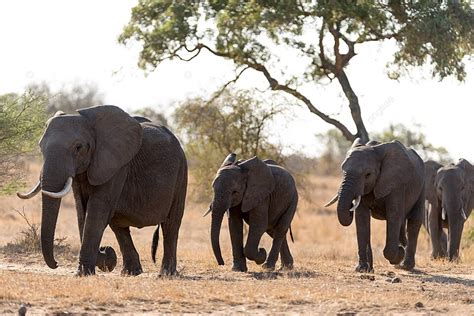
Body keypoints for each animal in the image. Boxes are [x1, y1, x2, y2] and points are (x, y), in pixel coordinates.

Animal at [18, 105, 189, 276]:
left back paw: (166, 274)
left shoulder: (117, 166)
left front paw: (85, 272)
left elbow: (96, 211)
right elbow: (82, 211)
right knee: (119, 227)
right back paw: (130, 272)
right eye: (40, 147)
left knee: (171, 225)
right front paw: (97, 264)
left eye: (78, 147)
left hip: (181, 173)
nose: (56, 264)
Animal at [326, 139, 426, 272]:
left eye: (368, 174)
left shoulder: (397, 184)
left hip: (422, 187)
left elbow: (394, 215)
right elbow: (362, 218)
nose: (351, 204)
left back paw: (405, 265)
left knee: (414, 221)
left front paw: (399, 253)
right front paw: (362, 269)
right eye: (343, 171)